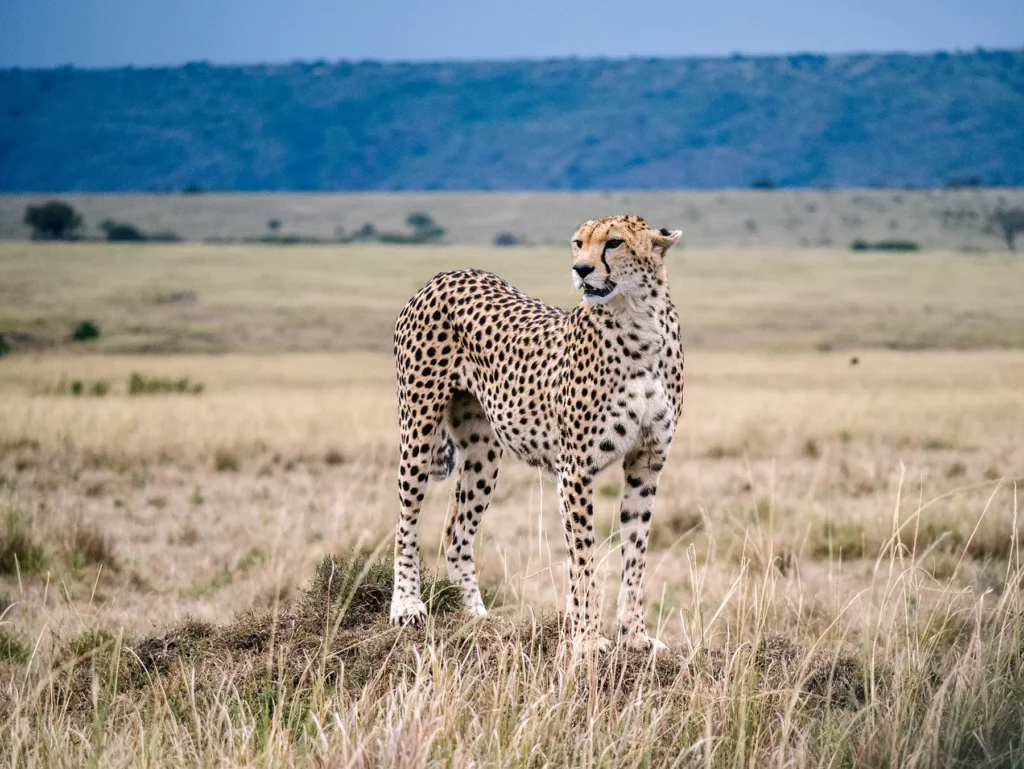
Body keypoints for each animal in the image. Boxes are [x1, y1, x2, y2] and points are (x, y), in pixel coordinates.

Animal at [389, 214, 684, 654]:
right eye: (578, 243)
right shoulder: (576, 467)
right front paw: (587, 639)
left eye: (614, 243)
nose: (582, 269)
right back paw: (407, 605)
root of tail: (448, 273)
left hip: (483, 451)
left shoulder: (647, 461)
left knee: (456, 532)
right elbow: (583, 558)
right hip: (419, 426)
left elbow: (636, 553)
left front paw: (635, 636)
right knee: (406, 522)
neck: (638, 321)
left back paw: (475, 616)